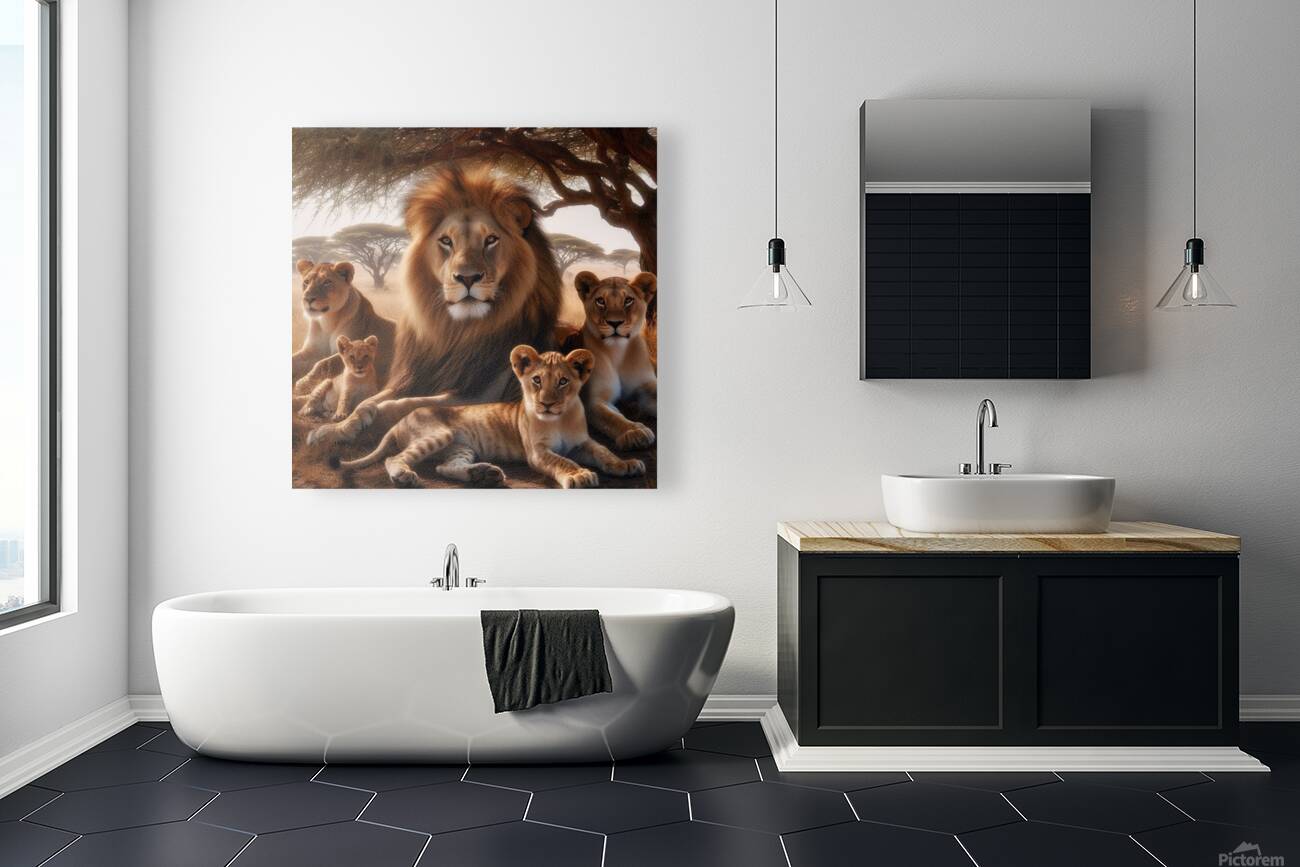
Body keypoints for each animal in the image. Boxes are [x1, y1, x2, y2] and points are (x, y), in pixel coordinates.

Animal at [306, 164, 564, 450]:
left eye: (491, 239)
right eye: (446, 241)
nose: (467, 278)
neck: (455, 332)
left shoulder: (479, 395)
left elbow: (400, 406)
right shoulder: (412, 377)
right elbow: (367, 403)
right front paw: (333, 429)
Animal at [337, 345, 644, 489]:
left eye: (563, 382)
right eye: (536, 380)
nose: (546, 404)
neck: (560, 418)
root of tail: (400, 421)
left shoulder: (582, 442)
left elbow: (604, 451)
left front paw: (626, 464)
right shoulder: (538, 452)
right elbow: (563, 461)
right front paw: (579, 475)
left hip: (460, 447)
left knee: (444, 468)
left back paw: (484, 474)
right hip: (438, 435)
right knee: (394, 458)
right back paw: (404, 475)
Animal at [573, 270, 657, 450]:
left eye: (628, 300)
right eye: (600, 301)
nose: (615, 322)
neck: (617, 351)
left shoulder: (646, 385)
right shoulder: (594, 399)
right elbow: (612, 418)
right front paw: (634, 432)